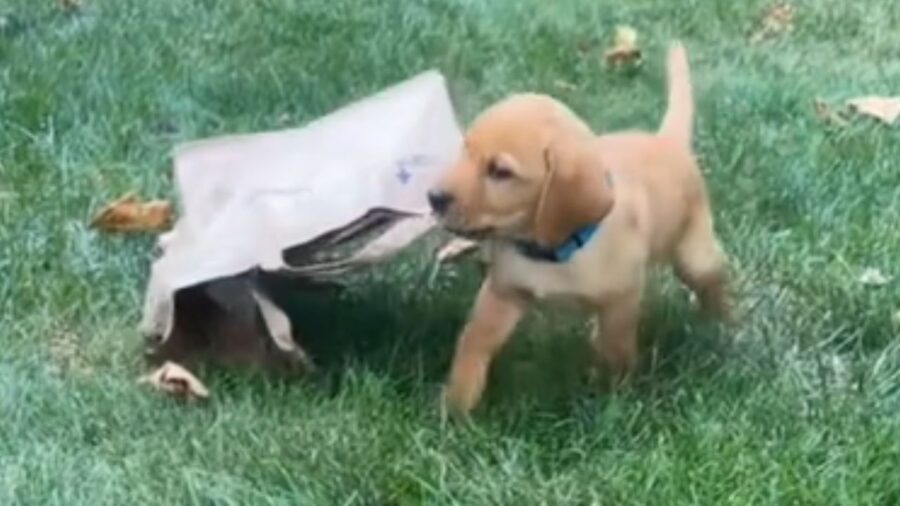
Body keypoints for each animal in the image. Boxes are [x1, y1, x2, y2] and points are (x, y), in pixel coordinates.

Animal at [428, 42, 732, 420]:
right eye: (464, 150)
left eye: (500, 172)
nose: (433, 197)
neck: (552, 250)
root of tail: (667, 142)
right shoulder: (503, 292)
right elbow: (472, 344)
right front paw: (455, 408)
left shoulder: (620, 300)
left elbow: (617, 351)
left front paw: (613, 399)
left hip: (696, 257)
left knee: (713, 281)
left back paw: (724, 322)